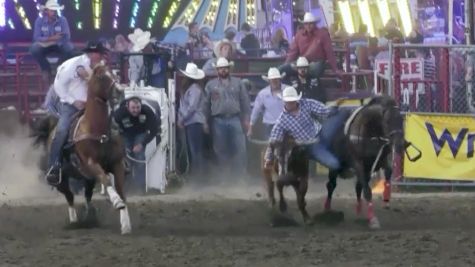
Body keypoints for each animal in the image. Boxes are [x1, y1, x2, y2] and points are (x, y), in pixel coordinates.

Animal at [32, 65, 131, 234]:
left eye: (114, 73)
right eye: (101, 77)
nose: (120, 90)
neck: (98, 130)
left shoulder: (117, 164)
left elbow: (121, 190)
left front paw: (125, 224)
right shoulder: (91, 164)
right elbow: (106, 179)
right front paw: (116, 202)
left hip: (87, 178)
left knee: (87, 196)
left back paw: (89, 215)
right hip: (60, 181)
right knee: (70, 196)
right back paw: (74, 221)